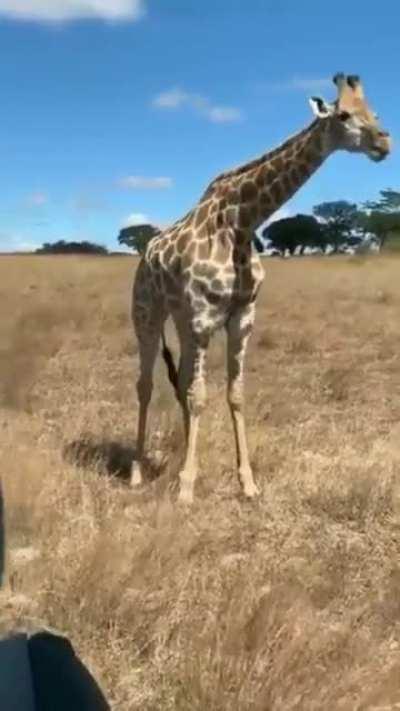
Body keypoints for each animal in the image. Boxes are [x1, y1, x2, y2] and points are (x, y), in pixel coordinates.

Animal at [130, 73, 390, 504]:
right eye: (343, 115)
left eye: (375, 112)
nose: (384, 143)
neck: (241, 222)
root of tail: (145, 253)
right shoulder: (203, 318)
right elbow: (200, 396)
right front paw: (187, 488)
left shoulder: (241, 317)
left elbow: (232, 394)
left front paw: (246, 483)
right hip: (148, 314)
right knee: (146, 384)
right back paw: (137, 472)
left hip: (182, 321)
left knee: (180, 381)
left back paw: (182, 455)